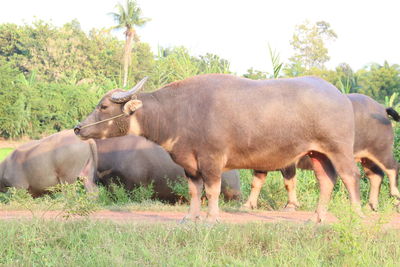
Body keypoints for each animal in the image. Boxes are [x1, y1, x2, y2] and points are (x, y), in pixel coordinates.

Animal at [244, 94, 400, 214]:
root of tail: (382, 108)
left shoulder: (289, 163)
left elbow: (289, 183)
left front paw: (291, 205)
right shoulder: (261, 163)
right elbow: (256, 183)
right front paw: (248, 205)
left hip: (381, 150)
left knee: (392, 168)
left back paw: (394, 196)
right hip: (366, 157)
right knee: (376, 175)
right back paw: (371, 206)